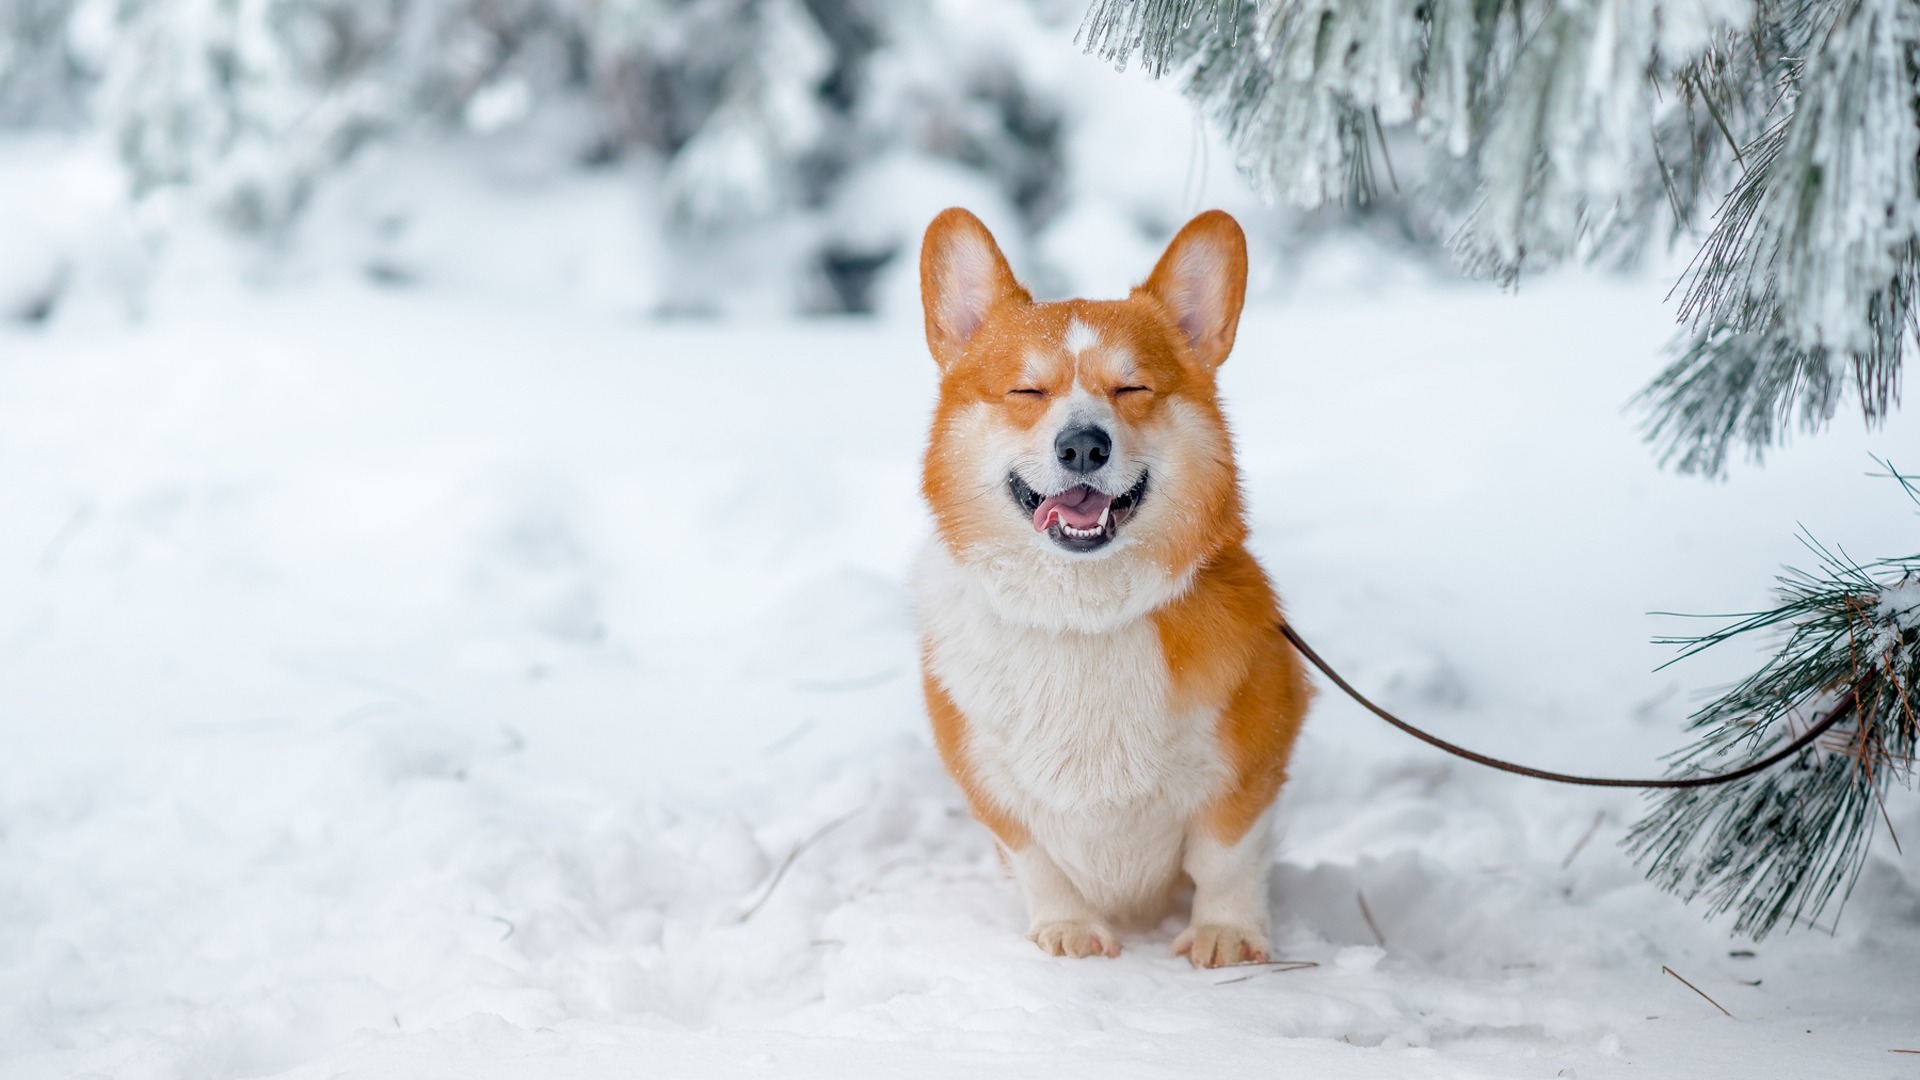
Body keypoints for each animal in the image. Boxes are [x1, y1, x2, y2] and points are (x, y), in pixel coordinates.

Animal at [910, 205, 1305, 960]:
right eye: (1027, 391)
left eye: (1132, 387)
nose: (1084, 445)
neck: (1082, 616)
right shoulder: (990, 783)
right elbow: (1037, 859)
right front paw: (1067, 929)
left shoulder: (1249, 763)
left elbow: (1226, 858)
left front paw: (1225, 934)